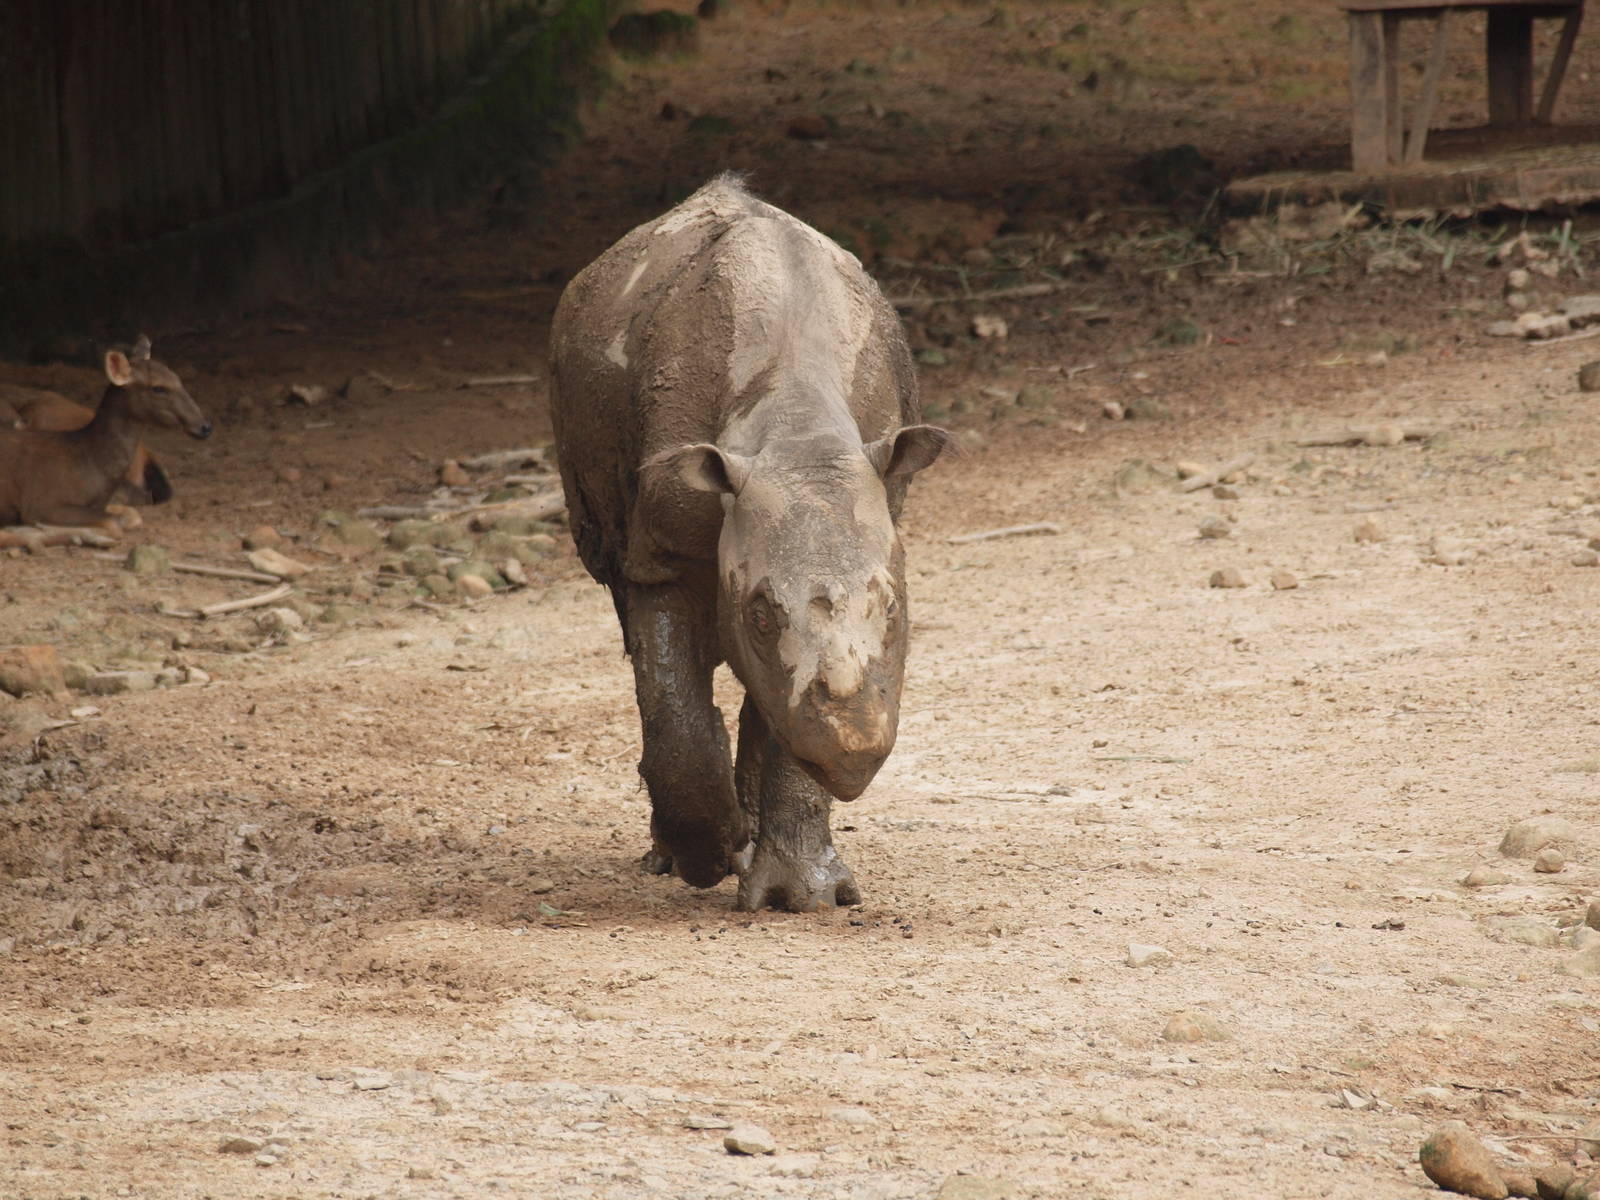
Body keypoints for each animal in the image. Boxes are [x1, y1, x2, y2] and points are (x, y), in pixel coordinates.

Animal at [549, 175, 946, 911]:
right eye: (758, 613)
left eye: (896, 608)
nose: (855, 752)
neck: (795, 428)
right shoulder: (662, 547)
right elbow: (673, 693)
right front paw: (709, 858)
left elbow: (790, 707)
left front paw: (807, 897)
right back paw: (683, 855)